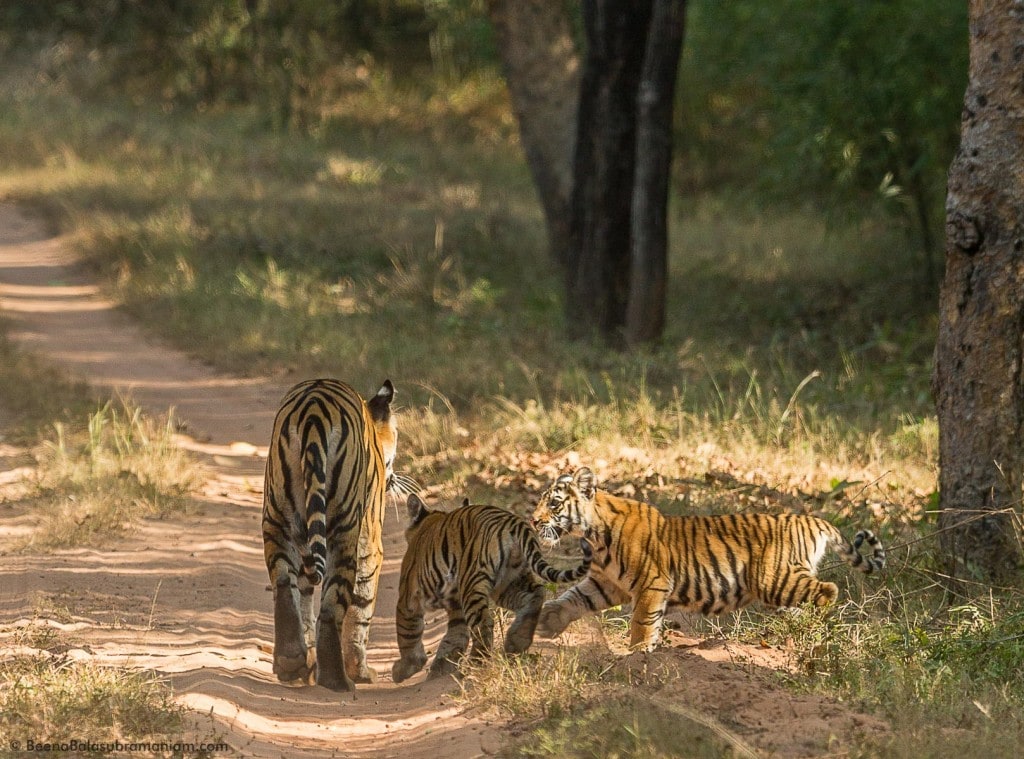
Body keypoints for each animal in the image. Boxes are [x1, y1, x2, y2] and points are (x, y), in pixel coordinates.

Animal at [260, 376, 395, 688]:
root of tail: (313, 411)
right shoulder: (370, 546)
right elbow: (361, 608)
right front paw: (360, 670)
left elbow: (304, 598)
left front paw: (306, 664)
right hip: (345, 532)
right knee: (333, 606)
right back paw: (338, 681)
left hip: (276, 518)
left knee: (283, 583)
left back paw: (289, 661)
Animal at [395, 491, 598, 680]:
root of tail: (511, 520)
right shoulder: (454, 604)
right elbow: (456, 634)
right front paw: (442, 665)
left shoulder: (408, 597)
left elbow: (407, 634)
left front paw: (405, 668)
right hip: (509, 581)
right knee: (537, 594)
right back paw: (517, 641)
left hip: (472, 582)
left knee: (484, 623)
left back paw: (475, 663)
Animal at [532, 467, 884, 651]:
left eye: (554, 504)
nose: (534, 521)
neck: (594, 535)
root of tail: (812, 520)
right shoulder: (607, 583)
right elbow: (574, 598)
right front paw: (548, 621)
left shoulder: (651, 582)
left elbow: (642, 621)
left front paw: (638, 654)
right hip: (782, 588)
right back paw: (791, 636)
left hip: (775, 580)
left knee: (828, 590)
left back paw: (814, 630)